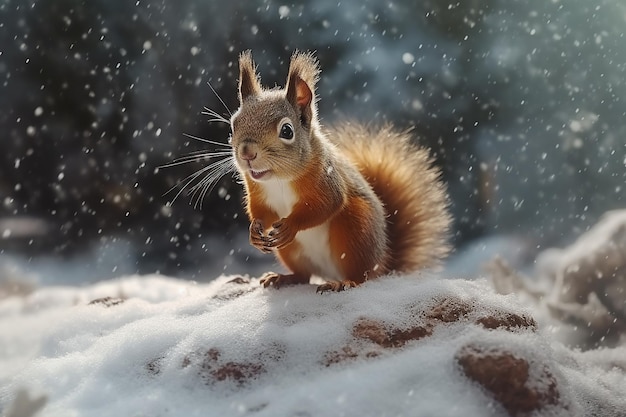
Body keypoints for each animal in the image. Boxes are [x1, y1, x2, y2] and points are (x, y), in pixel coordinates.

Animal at [229, 51, 448, 292]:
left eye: (286, 131)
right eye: (234, 123)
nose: (247, 152)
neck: (279, 180)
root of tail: (382, 262)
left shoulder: (326, 180)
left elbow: (327, 204)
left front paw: (291, 225)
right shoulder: (258, 192)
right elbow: (261, 211)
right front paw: (254, 231)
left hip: (354, 230)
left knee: (361, 276)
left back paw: (345, 283)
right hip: (291, 252)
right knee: (304, 275)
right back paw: (282, 278)